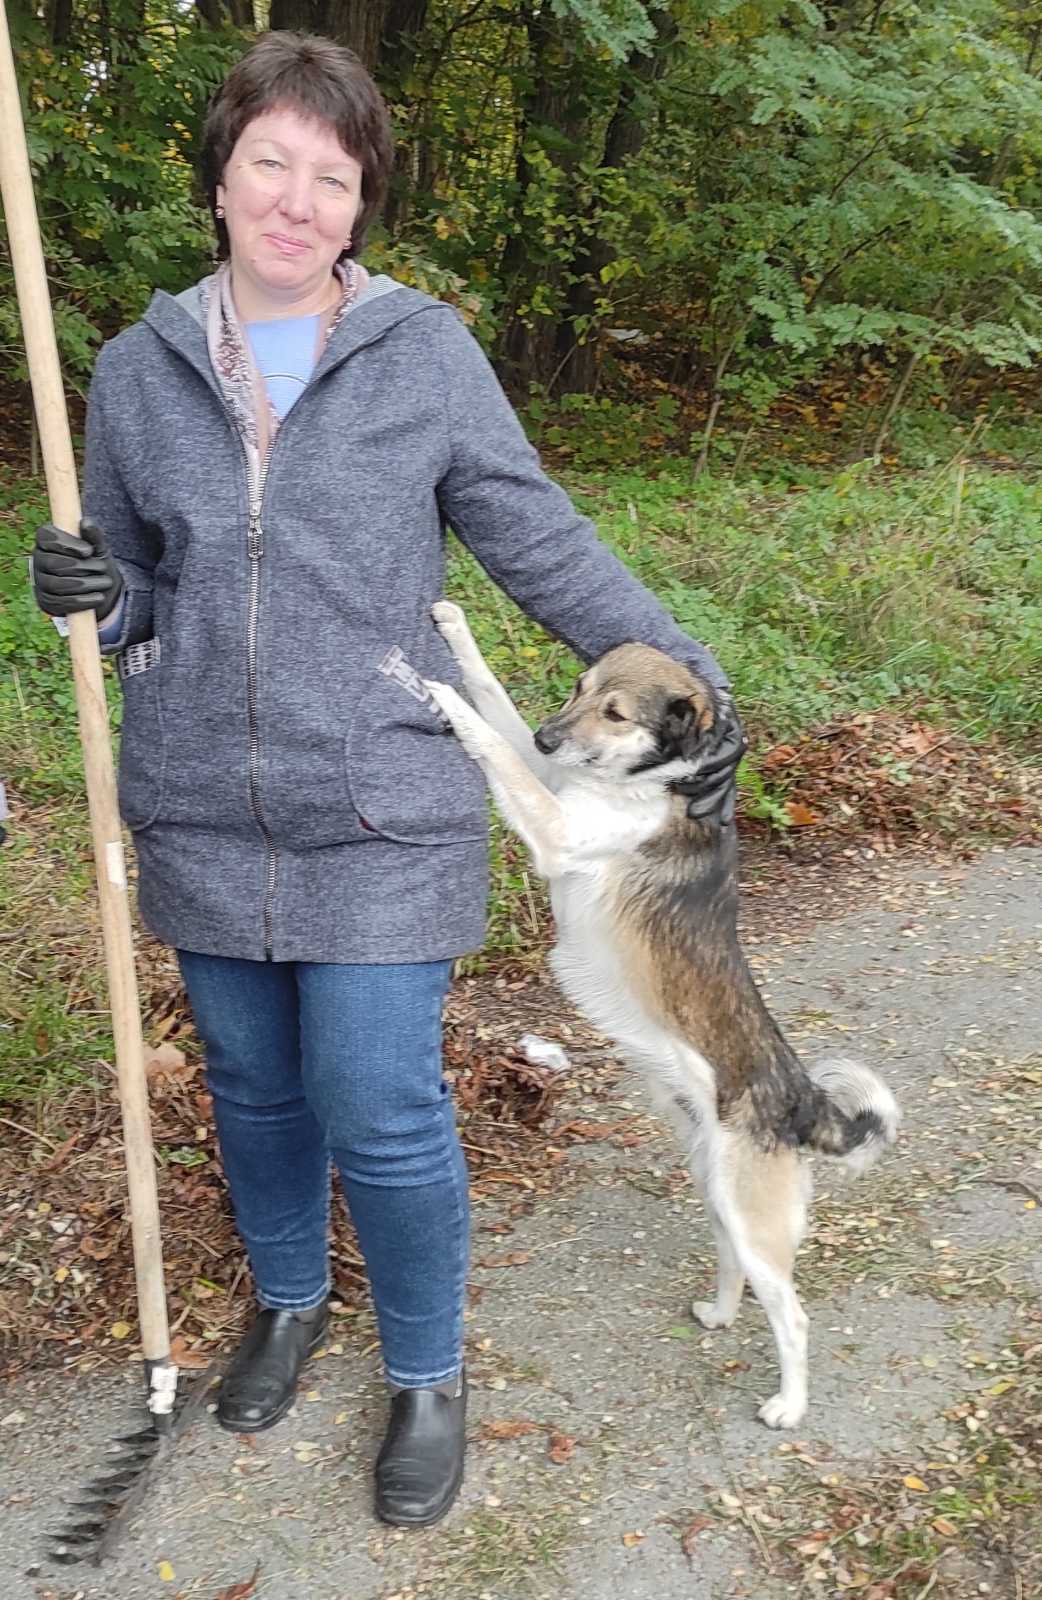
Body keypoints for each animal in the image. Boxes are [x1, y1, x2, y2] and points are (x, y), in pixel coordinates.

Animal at [425, 602, 899, 1429]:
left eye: (616, 714)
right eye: (578, 689)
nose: (550, 737)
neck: (656, 784)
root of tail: (801, 1101)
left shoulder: (553, 828)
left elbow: (491, 740)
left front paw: (440, 696)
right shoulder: (551, 785)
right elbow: (494, 695)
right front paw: (454, 634)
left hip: (752, 1214)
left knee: (794, 1316)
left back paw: (788, 1405)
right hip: (716, 1193)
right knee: (733, 1266)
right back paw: (718, 1313)